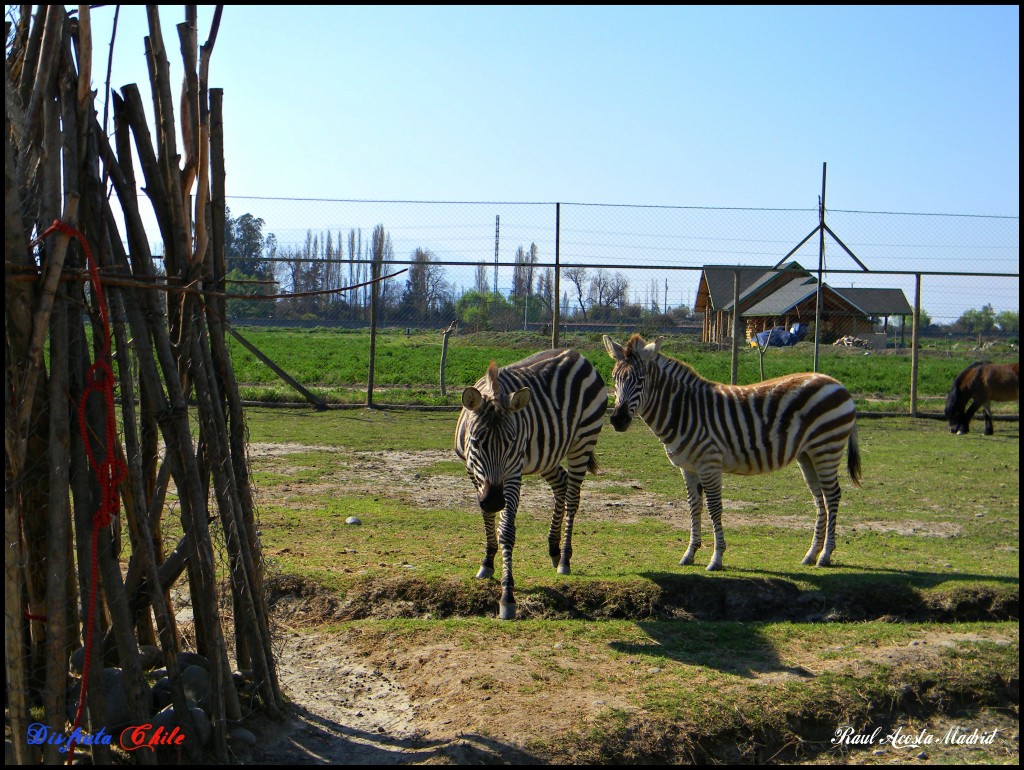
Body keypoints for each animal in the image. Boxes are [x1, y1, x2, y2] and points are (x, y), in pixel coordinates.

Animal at [452, 348, 602, 618]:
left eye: (511, 442)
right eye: (477, 441)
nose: (495, 501)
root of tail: (576, 354)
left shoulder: (513, 472)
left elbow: (506, 531)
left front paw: (507, 596)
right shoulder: (471, 471)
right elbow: (486, 517)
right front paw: (487, 561)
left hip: (583, 441)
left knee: (573, 497)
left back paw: (565, 559)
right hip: (548, 456)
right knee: (561, 485)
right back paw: (554, 549)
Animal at [602, 333, 860, 569]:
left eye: (640, 379)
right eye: (614, 378)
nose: (617, 420)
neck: (684, 410)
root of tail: (837, 383)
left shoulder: (709, 464)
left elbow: (715, 508)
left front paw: (716, 559)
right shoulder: (688, 468)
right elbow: (694, 507)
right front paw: (690, 553)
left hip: (826, 447)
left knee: (832, 496)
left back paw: (825, 555)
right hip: (807, 455)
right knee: (820, 498)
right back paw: (811, 554)